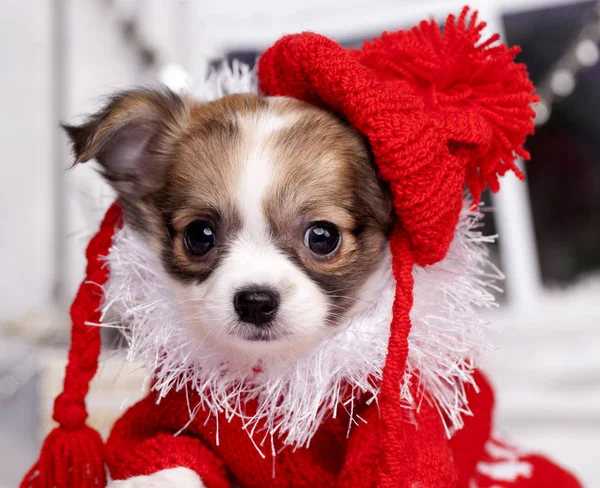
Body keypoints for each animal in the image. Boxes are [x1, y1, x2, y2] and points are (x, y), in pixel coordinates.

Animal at [64, 87, 394, 484]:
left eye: (323, 237)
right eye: (199, 235)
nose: (255, 301)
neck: (271, 374)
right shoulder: (173, 422)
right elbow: (175, 458)